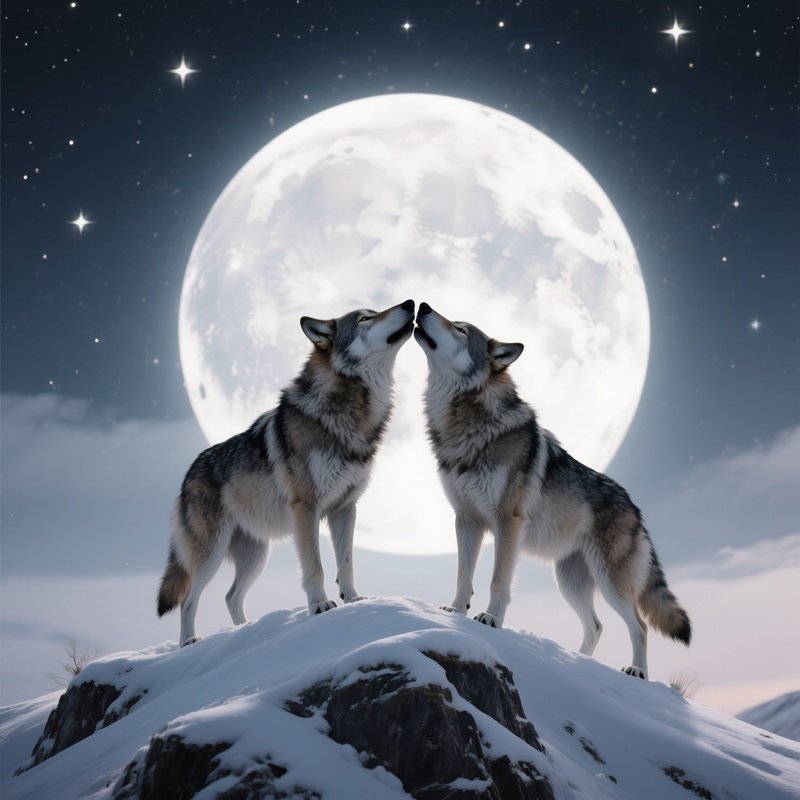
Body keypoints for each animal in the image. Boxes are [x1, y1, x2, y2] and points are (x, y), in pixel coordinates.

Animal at [158, 299, 416, 645]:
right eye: (365, 318)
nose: (410, 303)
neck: (349, 411)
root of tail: (187, 476)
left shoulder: (345, 508)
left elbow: (346, 562)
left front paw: (353, 599)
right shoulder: (306, 509)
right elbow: (315, 566)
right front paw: (320, 605)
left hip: (256, 557)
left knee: (230, 596)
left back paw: (245, 632)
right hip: (212, 553)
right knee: (189, 597)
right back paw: (189, 642)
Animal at [414, 302, 690, 678]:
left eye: (460, 329)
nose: (423, 305)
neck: (466, 422)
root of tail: (636, 508)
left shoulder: (508, 522)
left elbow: (498, 580)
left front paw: (490, 619)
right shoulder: (466, 519)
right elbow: (463, 575)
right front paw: (455, 612)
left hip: (610, 582)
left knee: (640, 625)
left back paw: (637, 672)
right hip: (569, 582)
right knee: (596, 626)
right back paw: (578, 663)